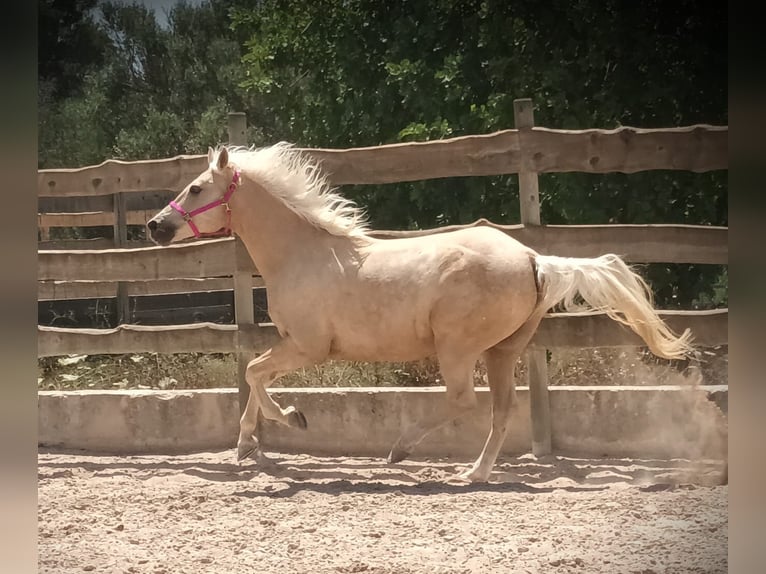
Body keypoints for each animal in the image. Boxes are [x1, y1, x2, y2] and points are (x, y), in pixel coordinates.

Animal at [150, 143, 696, 482]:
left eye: (195, 188)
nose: (155, 226)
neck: (302, 253)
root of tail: (533, 258)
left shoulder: (307, 347)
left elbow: (254, 374)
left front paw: (292, 420)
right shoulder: (294, 346)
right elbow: (253, 376)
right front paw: (247, 445)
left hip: (457, 347)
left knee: (463, 400)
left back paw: (402, 449)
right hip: (502, 350)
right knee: (501, 410)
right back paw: (475, 472)